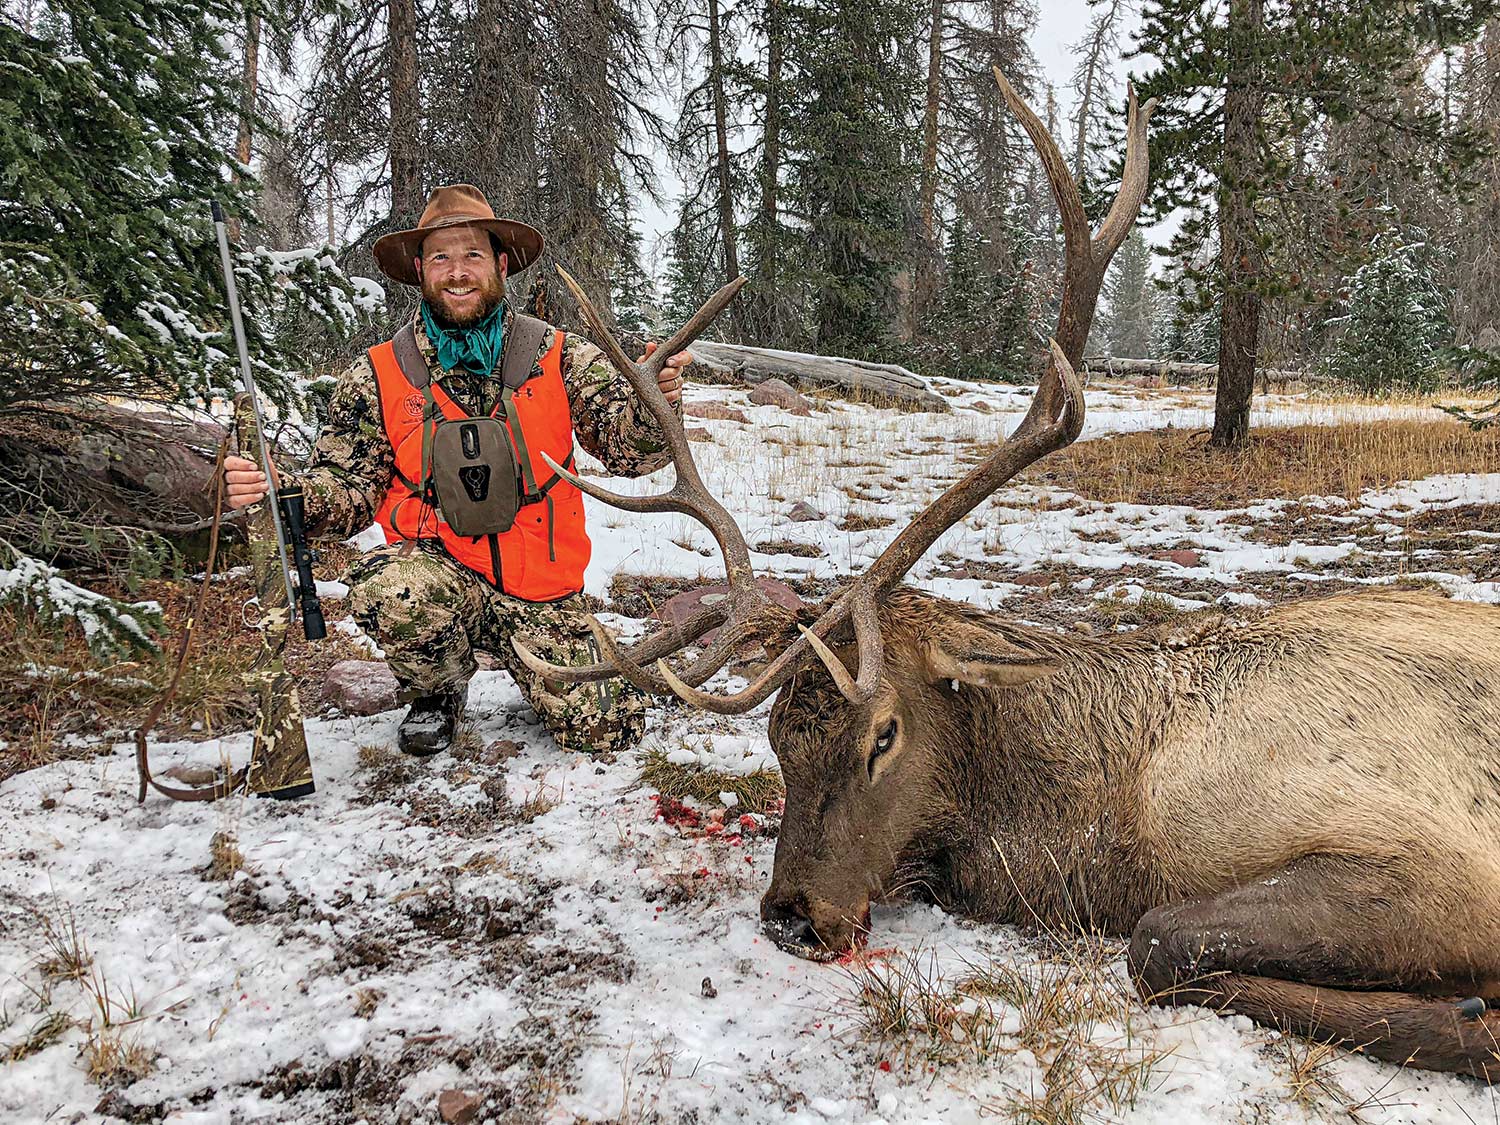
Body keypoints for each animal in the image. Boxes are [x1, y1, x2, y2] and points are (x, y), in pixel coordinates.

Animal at [516, 72, 1500, 1086]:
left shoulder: (1440, 861)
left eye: (884, 734)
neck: (1108, 826)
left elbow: (1158, 941)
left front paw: (1472, 1013)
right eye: (779, 738)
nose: (792, 917)